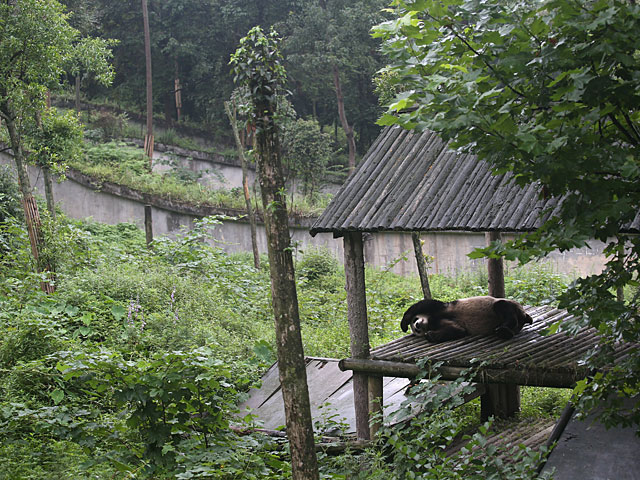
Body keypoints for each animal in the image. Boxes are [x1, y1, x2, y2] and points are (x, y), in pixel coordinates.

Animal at [402, 294, 532, 344]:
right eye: (416, 330)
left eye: (415, 320)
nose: (417, 325)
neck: (431, 320)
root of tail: (524, 316)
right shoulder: (440, 323)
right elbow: (457, 330)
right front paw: (430, 335)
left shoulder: (439, 308)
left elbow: (423, 304)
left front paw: (404, 325)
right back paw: (504, 332)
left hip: (507, 305)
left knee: (502, 307)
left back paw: (504, 327)